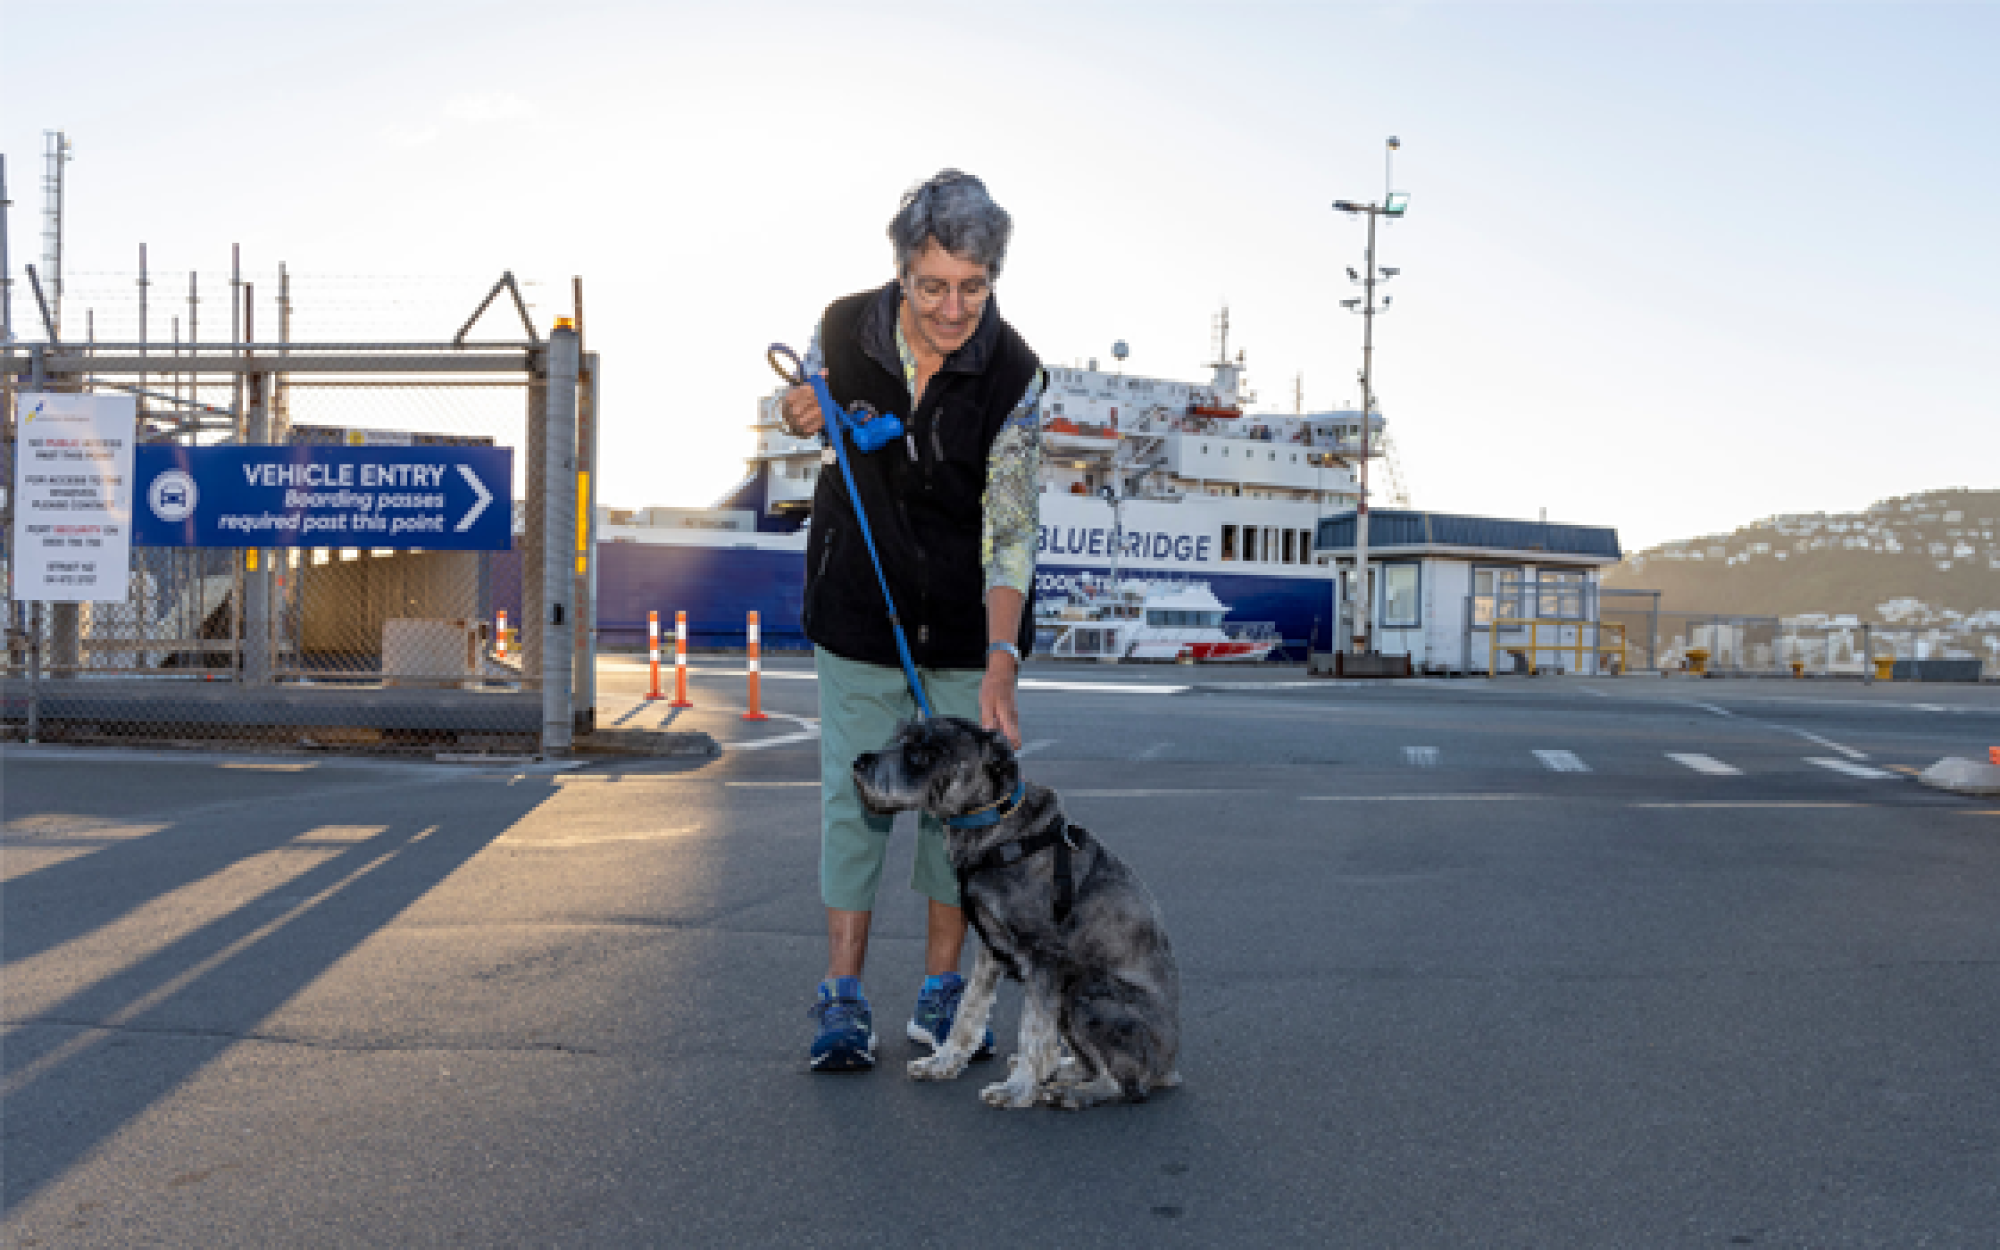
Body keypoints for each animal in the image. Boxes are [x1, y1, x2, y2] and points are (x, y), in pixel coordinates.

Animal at [851, 716, 1181, 1109]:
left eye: (922, 752)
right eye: (903, 739)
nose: (859, 763)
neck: (995, 832)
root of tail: (1169, 1067)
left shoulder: (1044, 959)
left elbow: (1034, 1031)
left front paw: (1016, 1089)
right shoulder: (989, 948)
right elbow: (968, 1010)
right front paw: (943, 1061)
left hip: (1084, 990)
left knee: (1125, 1083)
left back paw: (1070, 1092)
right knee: (1095, 1065)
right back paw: (1064, 1072)